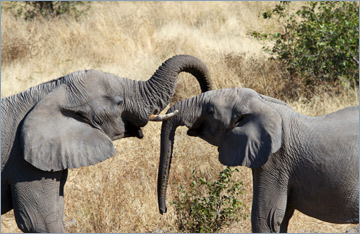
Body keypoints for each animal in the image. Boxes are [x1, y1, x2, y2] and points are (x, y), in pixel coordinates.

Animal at [158, 87, 360, 232]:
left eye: (210, 110)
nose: (164, 210)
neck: (264, 103)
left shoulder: (276, 161)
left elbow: (266, 218)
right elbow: (280, 218)